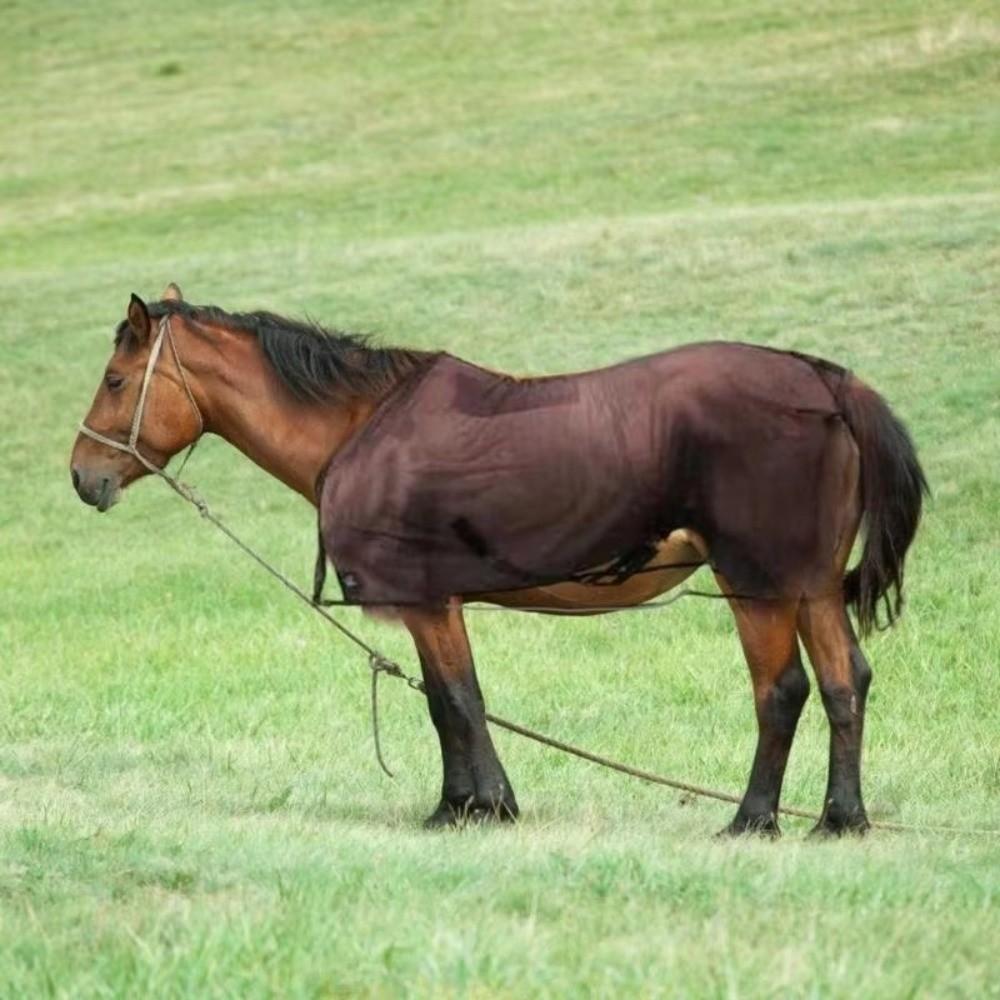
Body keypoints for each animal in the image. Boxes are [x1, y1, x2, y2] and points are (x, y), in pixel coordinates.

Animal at [70, 286, 927, 836]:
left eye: (115, 379)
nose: (84, 476)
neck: (361, 425)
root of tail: (822, 379)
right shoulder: (435, 604)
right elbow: (446, 699)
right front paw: (459, 804)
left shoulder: (424, 600)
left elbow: (456, 699)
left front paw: (482, 807)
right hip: (810, 586)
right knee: (845, 683)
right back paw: (839, 820)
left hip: (759, 583)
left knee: (782, 692)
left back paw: (752, 820)